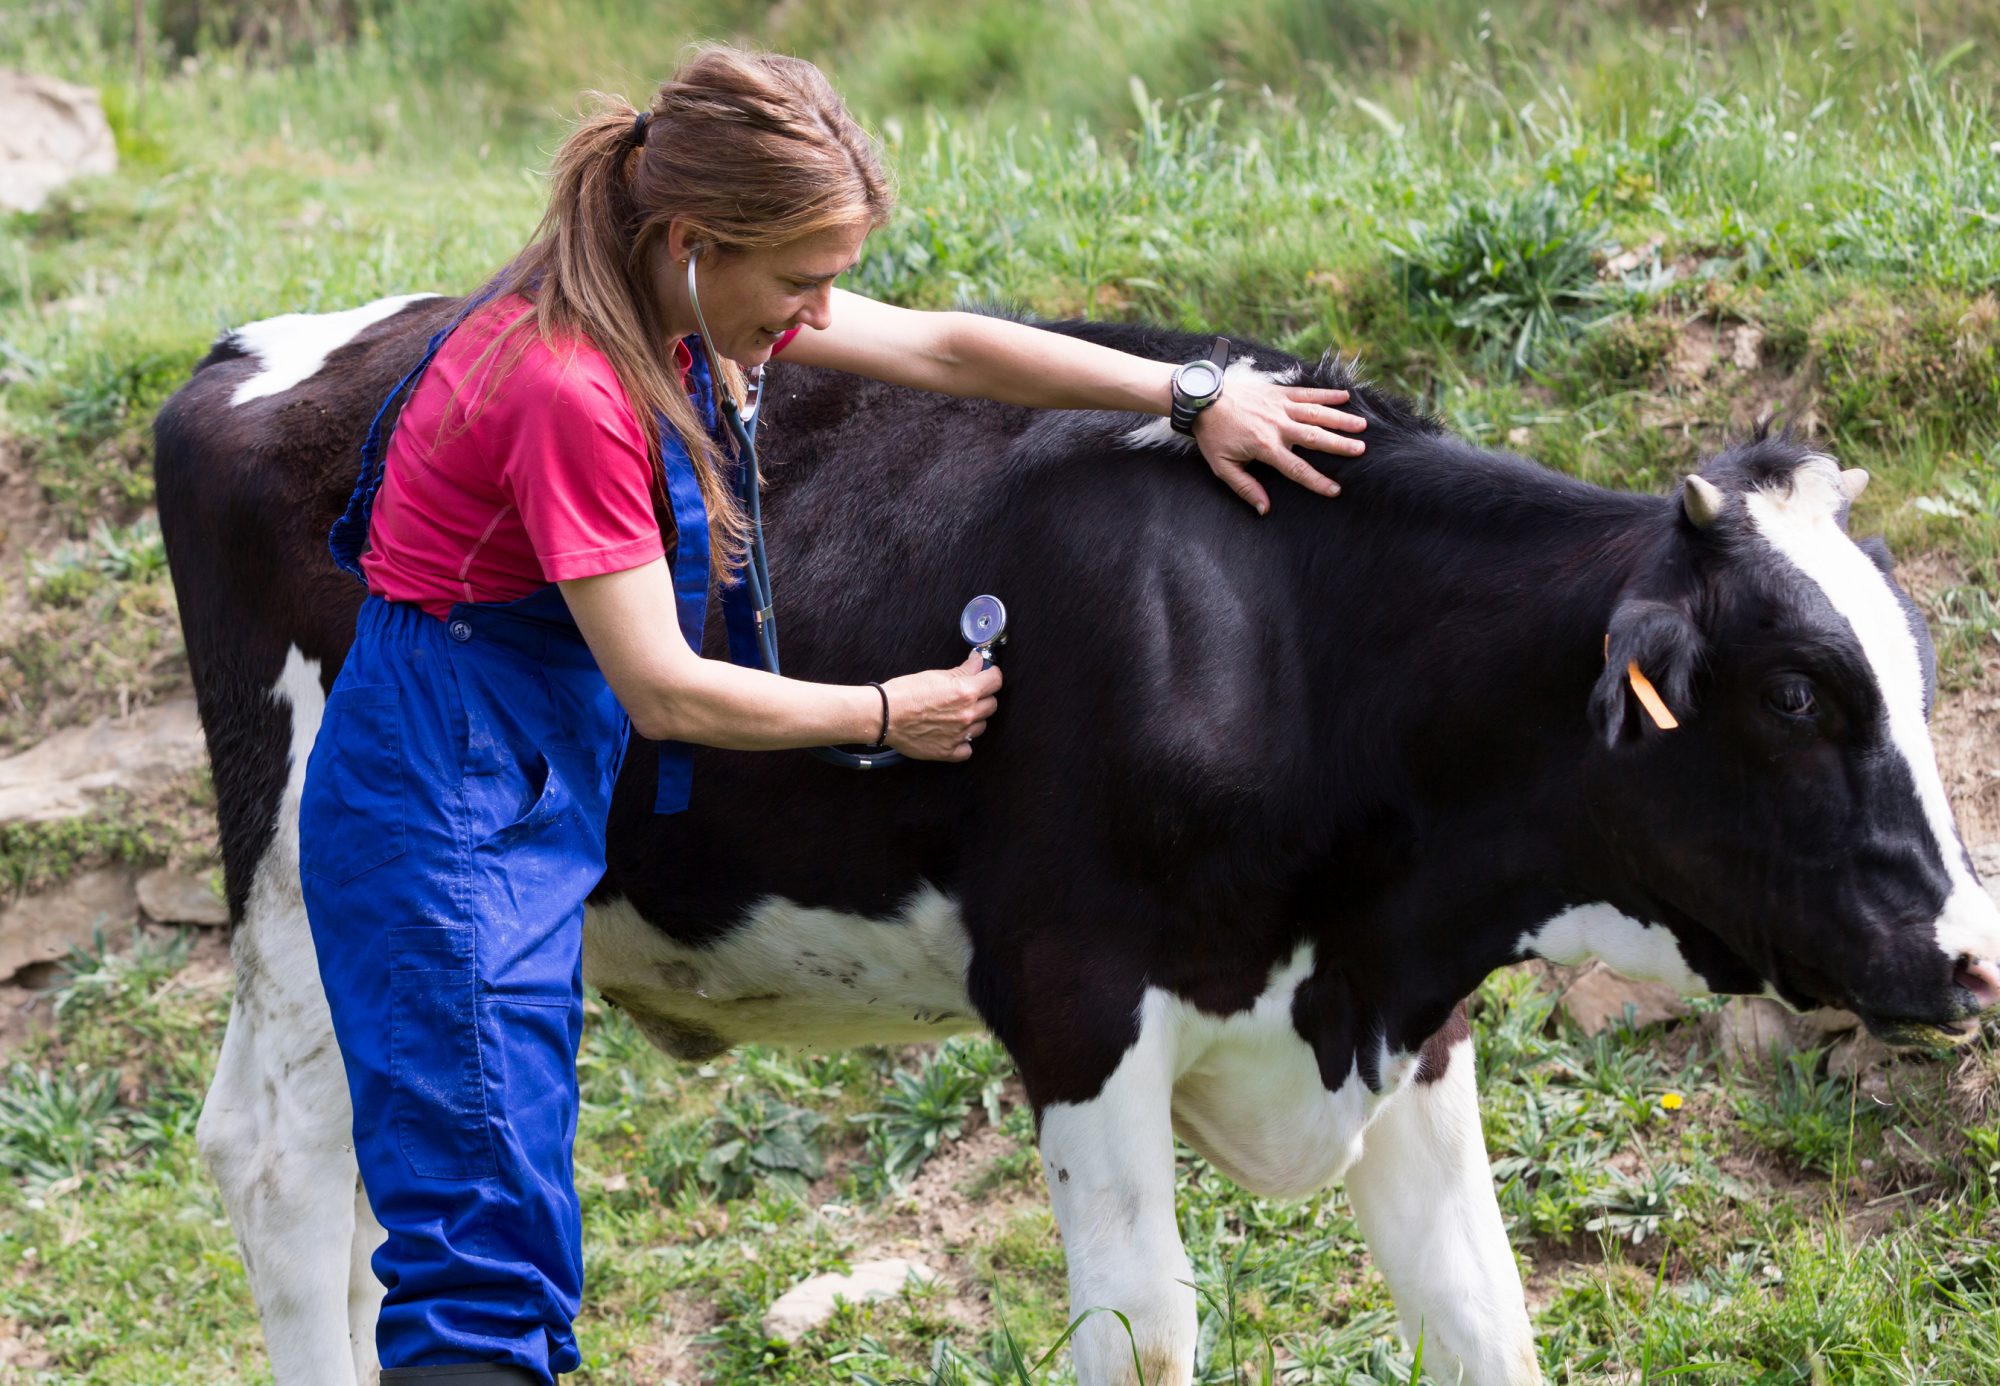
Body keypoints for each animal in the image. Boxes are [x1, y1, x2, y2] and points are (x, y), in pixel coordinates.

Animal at [152, 298, 2000, 1384]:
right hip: (317, 873)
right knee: (283, 1164)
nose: (1972, 958)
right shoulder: (1077, 1002)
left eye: (1910, 676)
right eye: (1793, 694)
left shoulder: (1408, 1016)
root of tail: (257, 353)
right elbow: (1148, 1335)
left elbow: (1481, 1312)